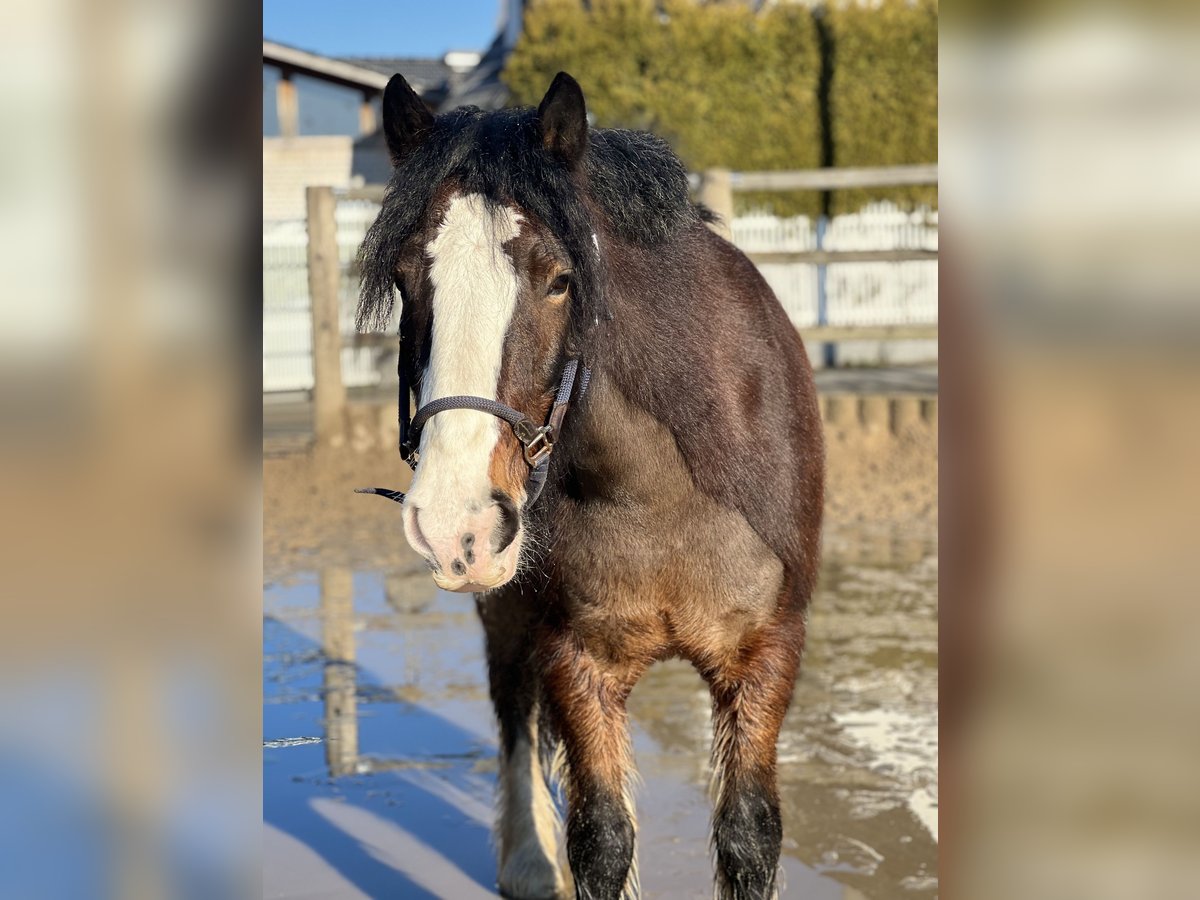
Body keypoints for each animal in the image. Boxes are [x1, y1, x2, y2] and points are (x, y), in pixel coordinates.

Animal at [355, 72, 825, 900]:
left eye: (560, 281)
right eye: (409, 280)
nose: (453, 524)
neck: (660, 492)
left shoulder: (767, 651)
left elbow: (749, 834)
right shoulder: (574, 657)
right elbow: (601, 838)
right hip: (505, 608)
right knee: (513, 707)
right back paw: (527, 860)